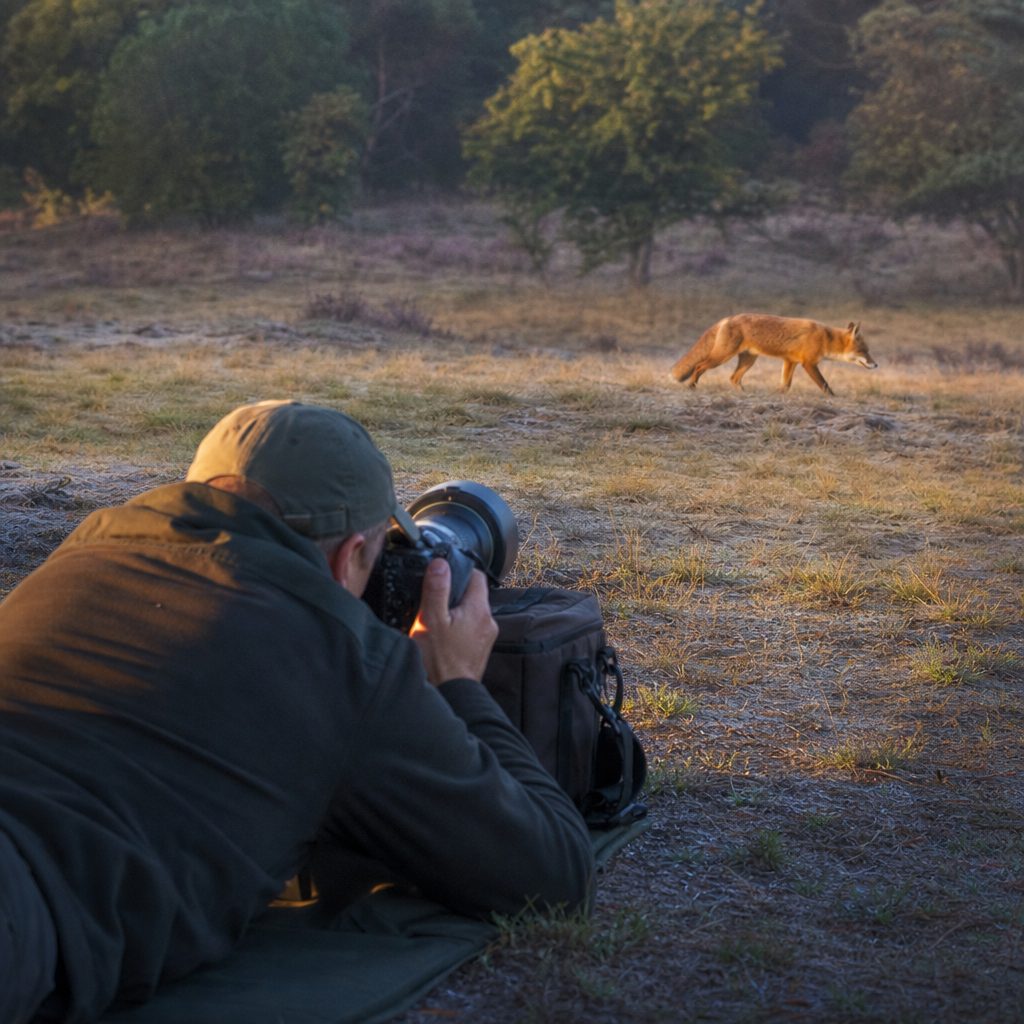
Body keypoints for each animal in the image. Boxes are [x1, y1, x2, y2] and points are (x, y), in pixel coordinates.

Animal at [670, 314, 877, 396]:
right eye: (864, 351)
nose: (876, 365)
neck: (826, 338)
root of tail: (728, 318)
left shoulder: (790, 361)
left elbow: (785, 385)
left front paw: (777, 394)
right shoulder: (808, 363)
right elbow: (824, 385)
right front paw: (833, 398)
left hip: (749, 360)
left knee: (733, 378)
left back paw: (744, 394)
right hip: (722, 356)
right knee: (699, 366)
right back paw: (692, 386)